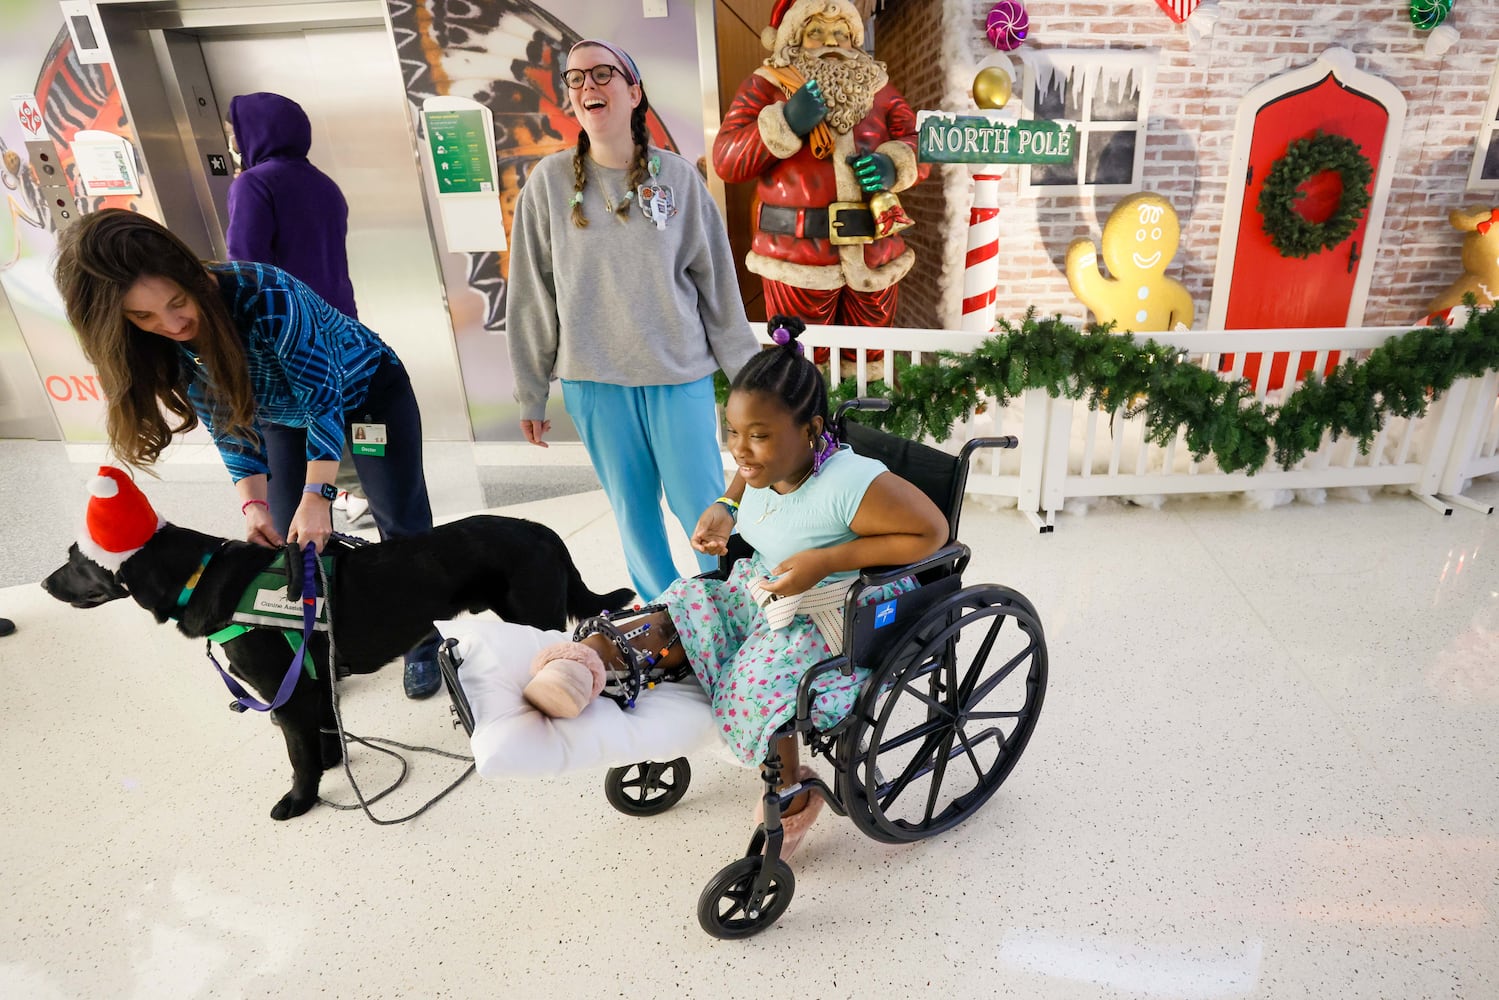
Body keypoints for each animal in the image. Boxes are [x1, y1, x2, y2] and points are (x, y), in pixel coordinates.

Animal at [46, 509, 632, 821]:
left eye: (76, 559)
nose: (47, 583)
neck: (204, 575)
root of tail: (542, 529)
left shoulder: (284, 696)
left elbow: (297, 755)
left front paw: (300, 800)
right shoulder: (311, 684)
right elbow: (323, 732)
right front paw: (333, 764)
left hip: (535, 616)